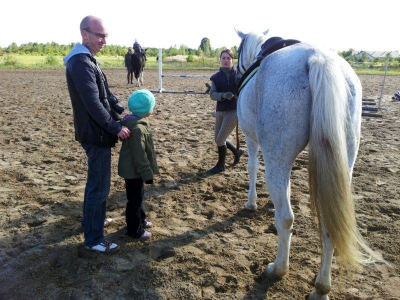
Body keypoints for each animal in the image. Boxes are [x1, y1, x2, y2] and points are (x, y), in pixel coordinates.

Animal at [236, 29, 380, 300]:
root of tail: (320, 58)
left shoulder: (252, 140)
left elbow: (251, 168)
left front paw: (251, 203)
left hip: (278, 155)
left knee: (285, 218)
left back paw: (277, 269)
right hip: (343, 161)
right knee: (329, 224)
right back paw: (321, 288)